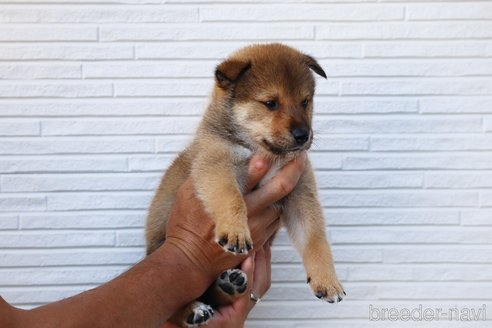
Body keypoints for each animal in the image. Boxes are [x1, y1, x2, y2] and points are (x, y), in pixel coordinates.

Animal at [146, 43, 344, 326]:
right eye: (270, 103)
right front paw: (235, 231)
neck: (264, 152)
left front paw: (327, 280)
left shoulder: (300, 194)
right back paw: (194, 309)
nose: (303, 135)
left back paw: (228, 285)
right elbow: (231, 198)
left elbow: (315, 238)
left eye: (305, 102)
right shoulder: (217, 167)